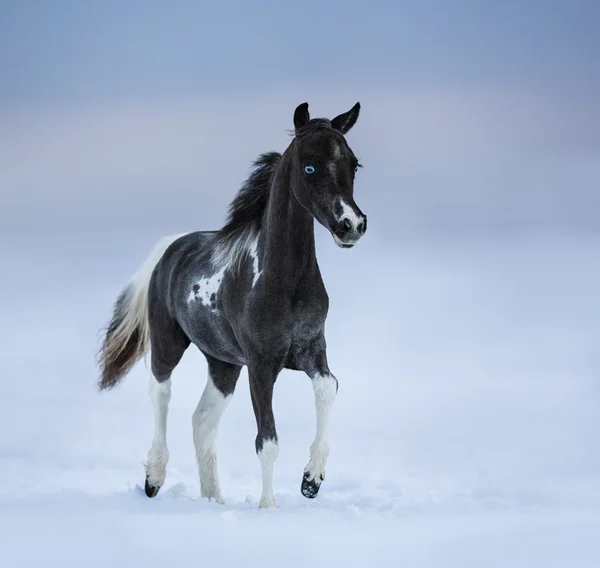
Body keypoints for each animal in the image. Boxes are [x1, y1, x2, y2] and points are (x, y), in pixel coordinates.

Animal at [98, 100, 366, 508]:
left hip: (223, 364)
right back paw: (154, 478)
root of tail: (171, 247)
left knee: (202, 421)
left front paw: (312, 480)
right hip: (168, 343)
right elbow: (267, 441)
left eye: (353, 164)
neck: (284, 283)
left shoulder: (311, 350)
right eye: (310, 166)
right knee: (161, 391)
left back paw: (214, 499)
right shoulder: (261, 365)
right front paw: (268, 507)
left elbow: (328, 387)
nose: (351, 225)